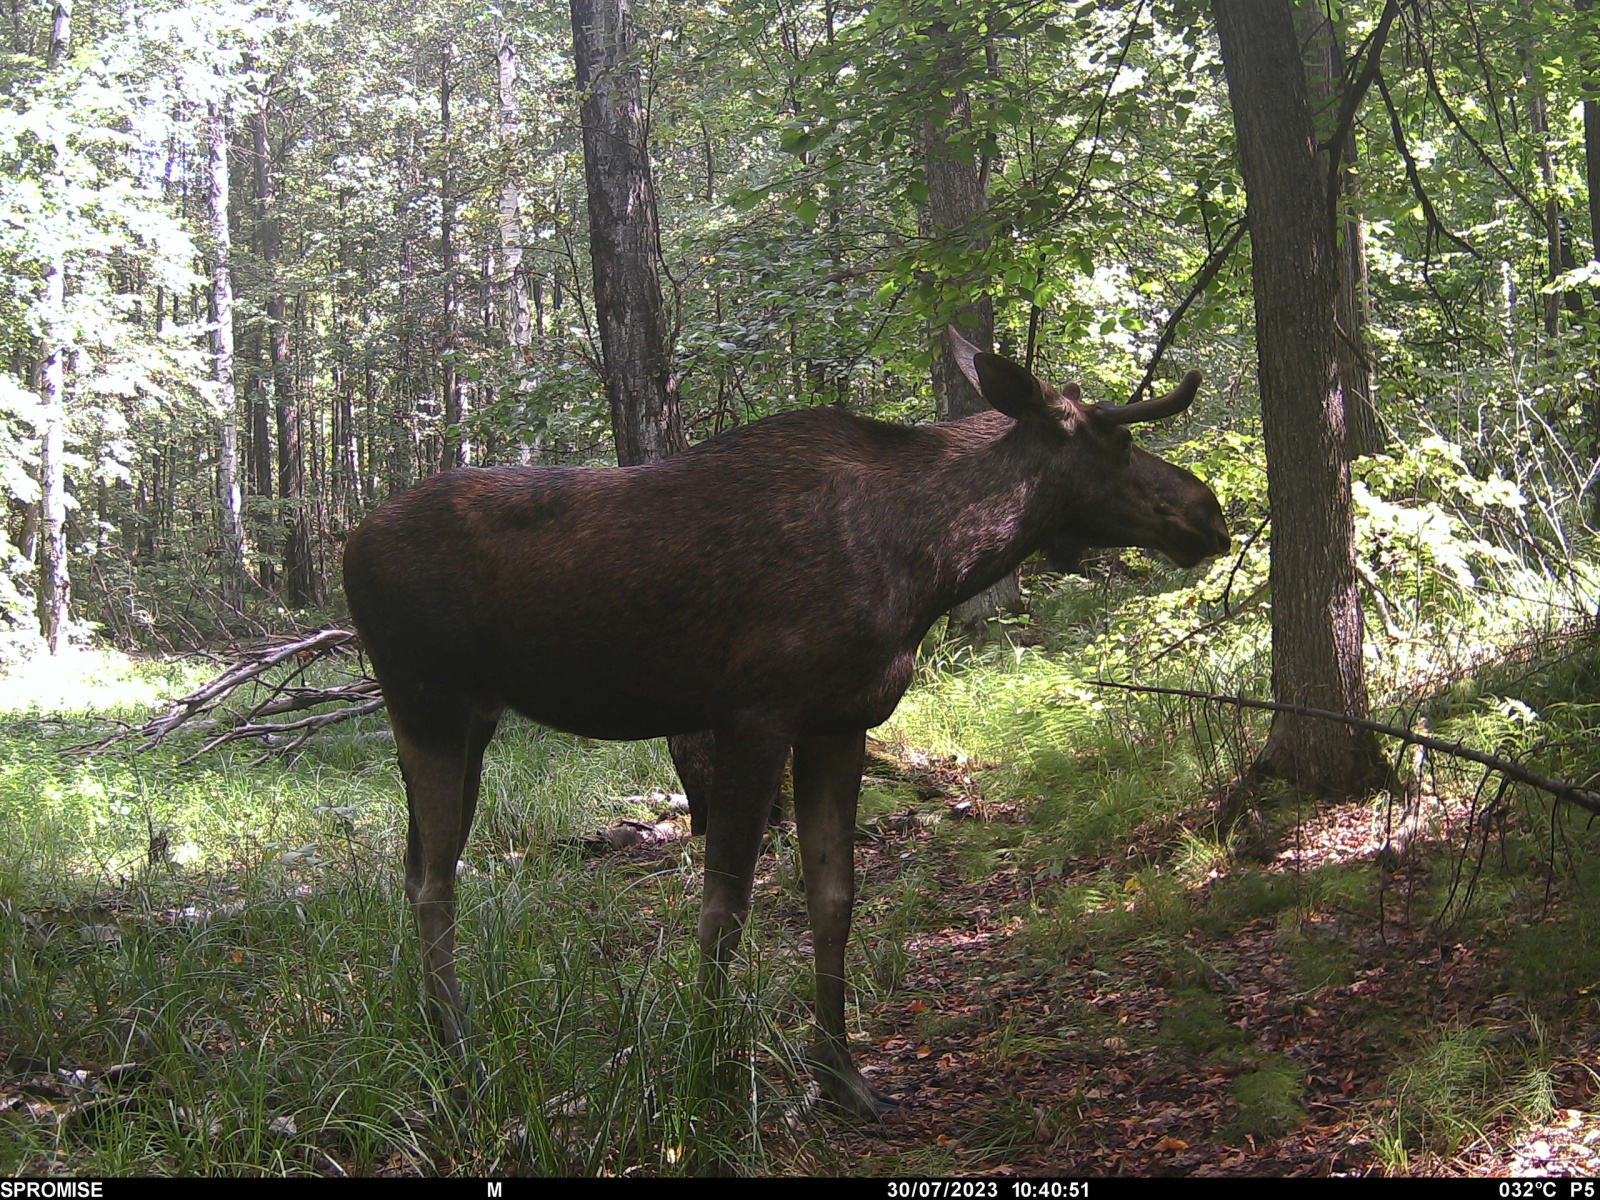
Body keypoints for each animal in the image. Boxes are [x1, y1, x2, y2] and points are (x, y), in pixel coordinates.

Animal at [342, 329, 1230, 1118]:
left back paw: (442, 1042)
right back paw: (462, 1059)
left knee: (420, 865)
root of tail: (349, 544)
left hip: (471, 722)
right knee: (431, 880)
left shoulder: (840, 721)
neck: (929, 565)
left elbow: (833, 897)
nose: (1211, 511)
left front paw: (841, 1075)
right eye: (1119, 440)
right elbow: (724, 911)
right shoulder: (754, 714)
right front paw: (709, 1075)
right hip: (424, 702)